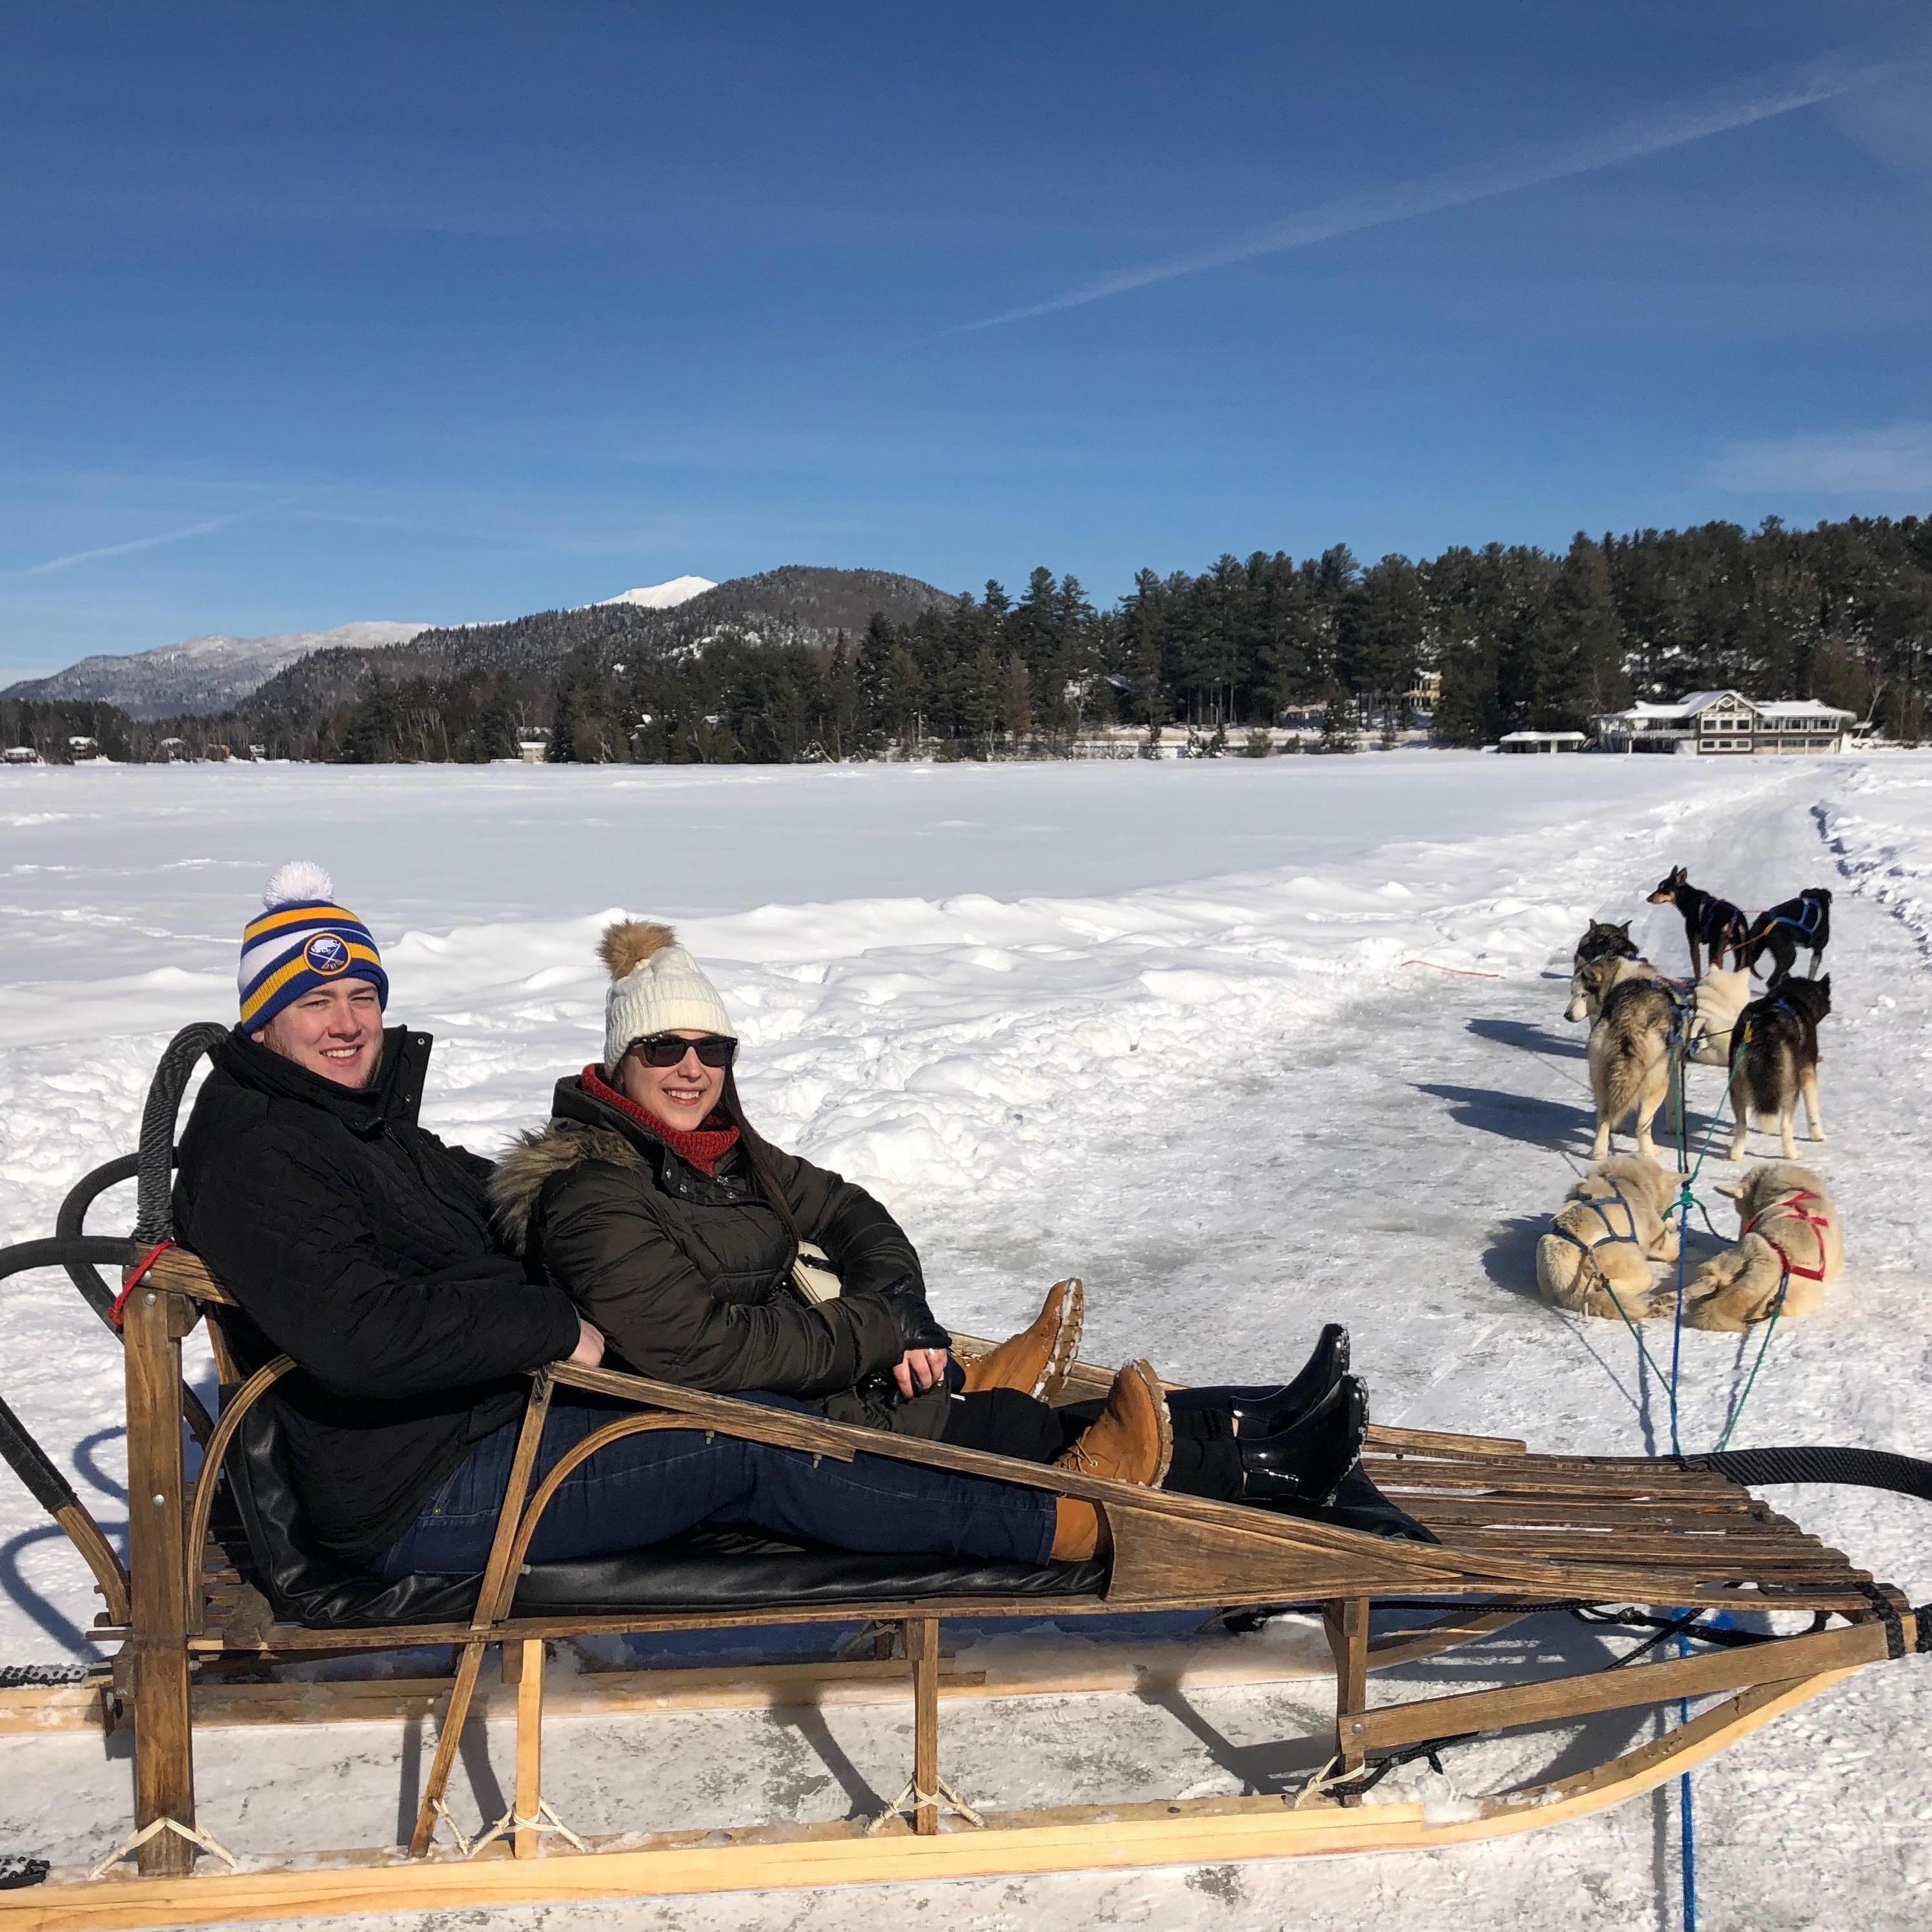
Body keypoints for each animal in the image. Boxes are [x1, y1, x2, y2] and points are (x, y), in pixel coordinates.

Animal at [1646, 869, 1754, 973]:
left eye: (1663, 889)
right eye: (1658, 887)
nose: (1648, 899)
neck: (1689, 900)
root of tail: (1736, 920)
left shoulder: (1694, 943)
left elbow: (1697, 971)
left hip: (1716, 949)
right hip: (1739, 949)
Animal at [1746, 884, 1831, 989]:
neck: (1816, 900)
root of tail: (1765, 921)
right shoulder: (1818, 950)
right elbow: (1812, 972)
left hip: (1757, 949)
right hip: (1788, 955)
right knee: (1771, 982)